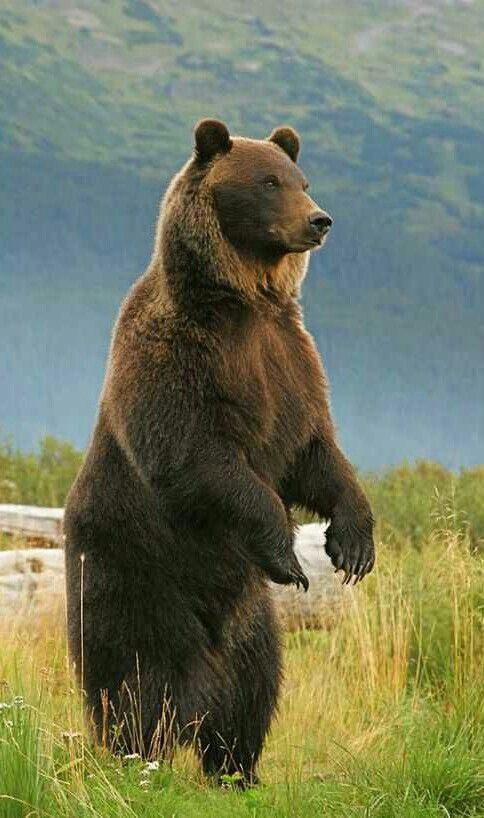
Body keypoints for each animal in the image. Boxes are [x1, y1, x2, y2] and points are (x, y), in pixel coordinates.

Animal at [64, 118, 374, 780]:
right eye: (268, 183)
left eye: (302, 179)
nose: (320, 220)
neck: (243, 300)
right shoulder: (179, 360)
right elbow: (200, 458)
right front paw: (288, 552)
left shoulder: (288, 361)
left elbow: (317, 453)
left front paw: (354, 544)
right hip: (136, 577)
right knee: (138, 683)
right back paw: (136, 758)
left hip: (251, 620)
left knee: (251, 690)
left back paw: (237, 769)